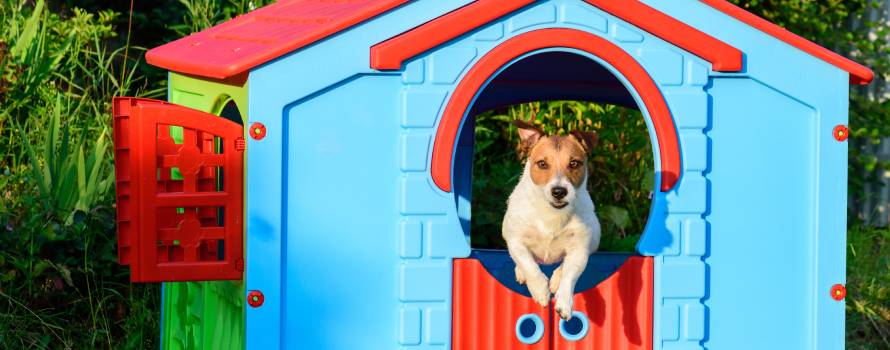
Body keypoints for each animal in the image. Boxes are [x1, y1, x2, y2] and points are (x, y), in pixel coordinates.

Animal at [502, 120, 600, 320]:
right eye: (542, 164)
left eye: (574, 163)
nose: (559, 192)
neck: (551, 213)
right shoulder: (515, 240)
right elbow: (529, 265)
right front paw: (540, 291)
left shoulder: (580, 249)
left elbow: (570, 275)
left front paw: (564, 301)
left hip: (594, 236)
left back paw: (556, 279)